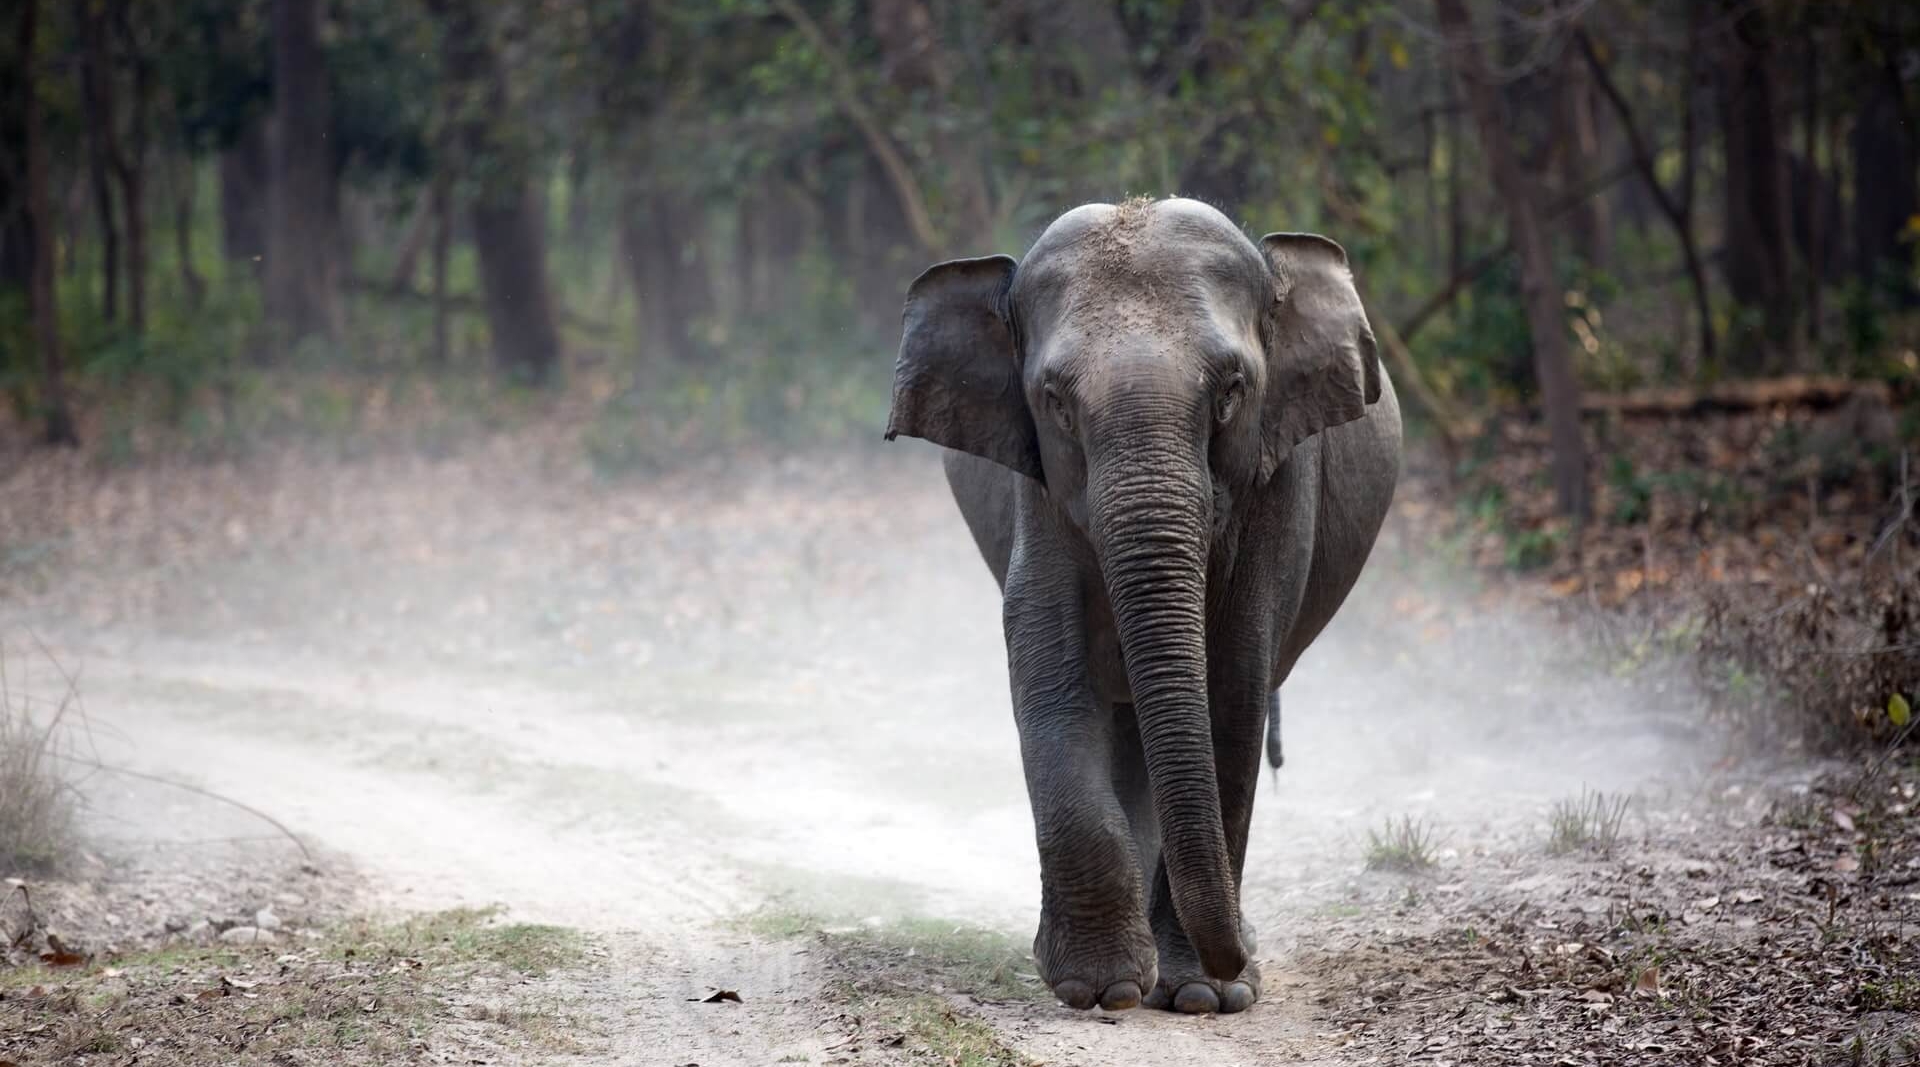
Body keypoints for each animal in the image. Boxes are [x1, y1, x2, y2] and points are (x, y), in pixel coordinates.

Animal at [879, 195, 1397, 1013]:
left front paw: (1204, 997)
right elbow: (1051, 675)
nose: (1237, 957)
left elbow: (1233, 690)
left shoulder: (1280, 479)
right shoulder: (1039, 490)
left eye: (1231, 392)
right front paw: (1104, 989)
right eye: (1055, 402)